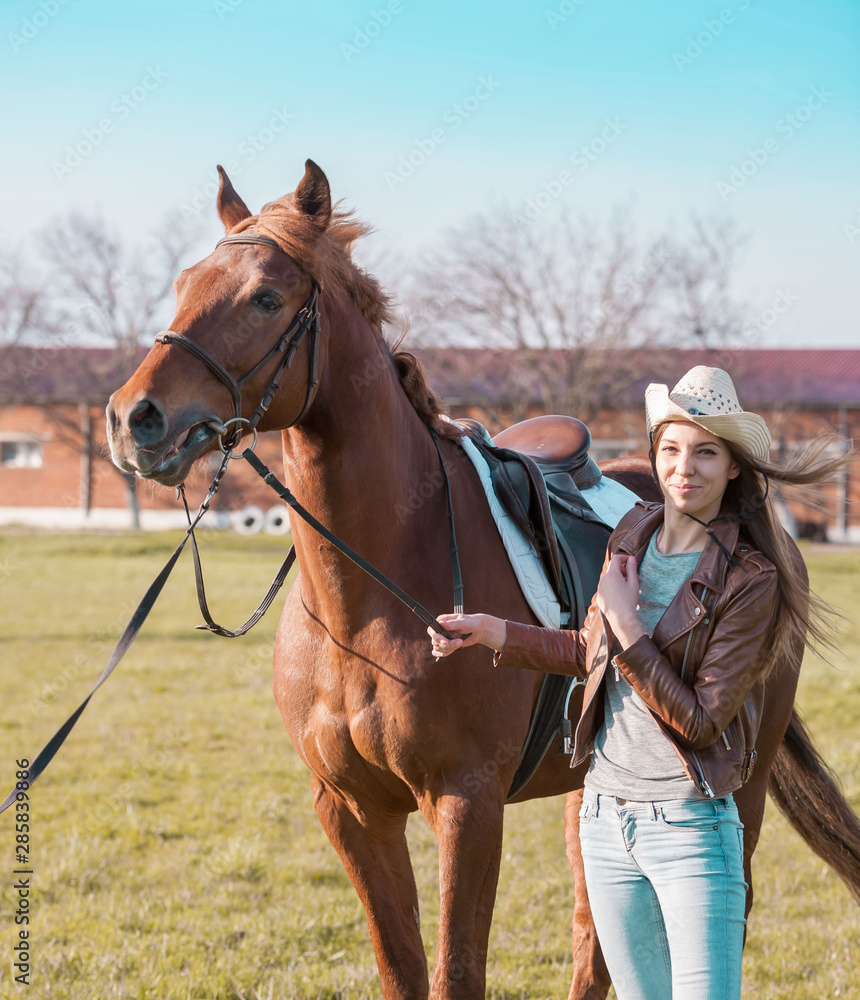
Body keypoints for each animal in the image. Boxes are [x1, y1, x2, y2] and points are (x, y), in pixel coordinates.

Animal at [105, 160, 860, 999]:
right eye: (184, 284)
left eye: (266, 297)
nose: (134, 418)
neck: (368, 600)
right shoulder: (351, 810)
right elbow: (403, 966)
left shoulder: (466, 804)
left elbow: (456, 970)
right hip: (589, 790)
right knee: (596, 940)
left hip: (739, 791)